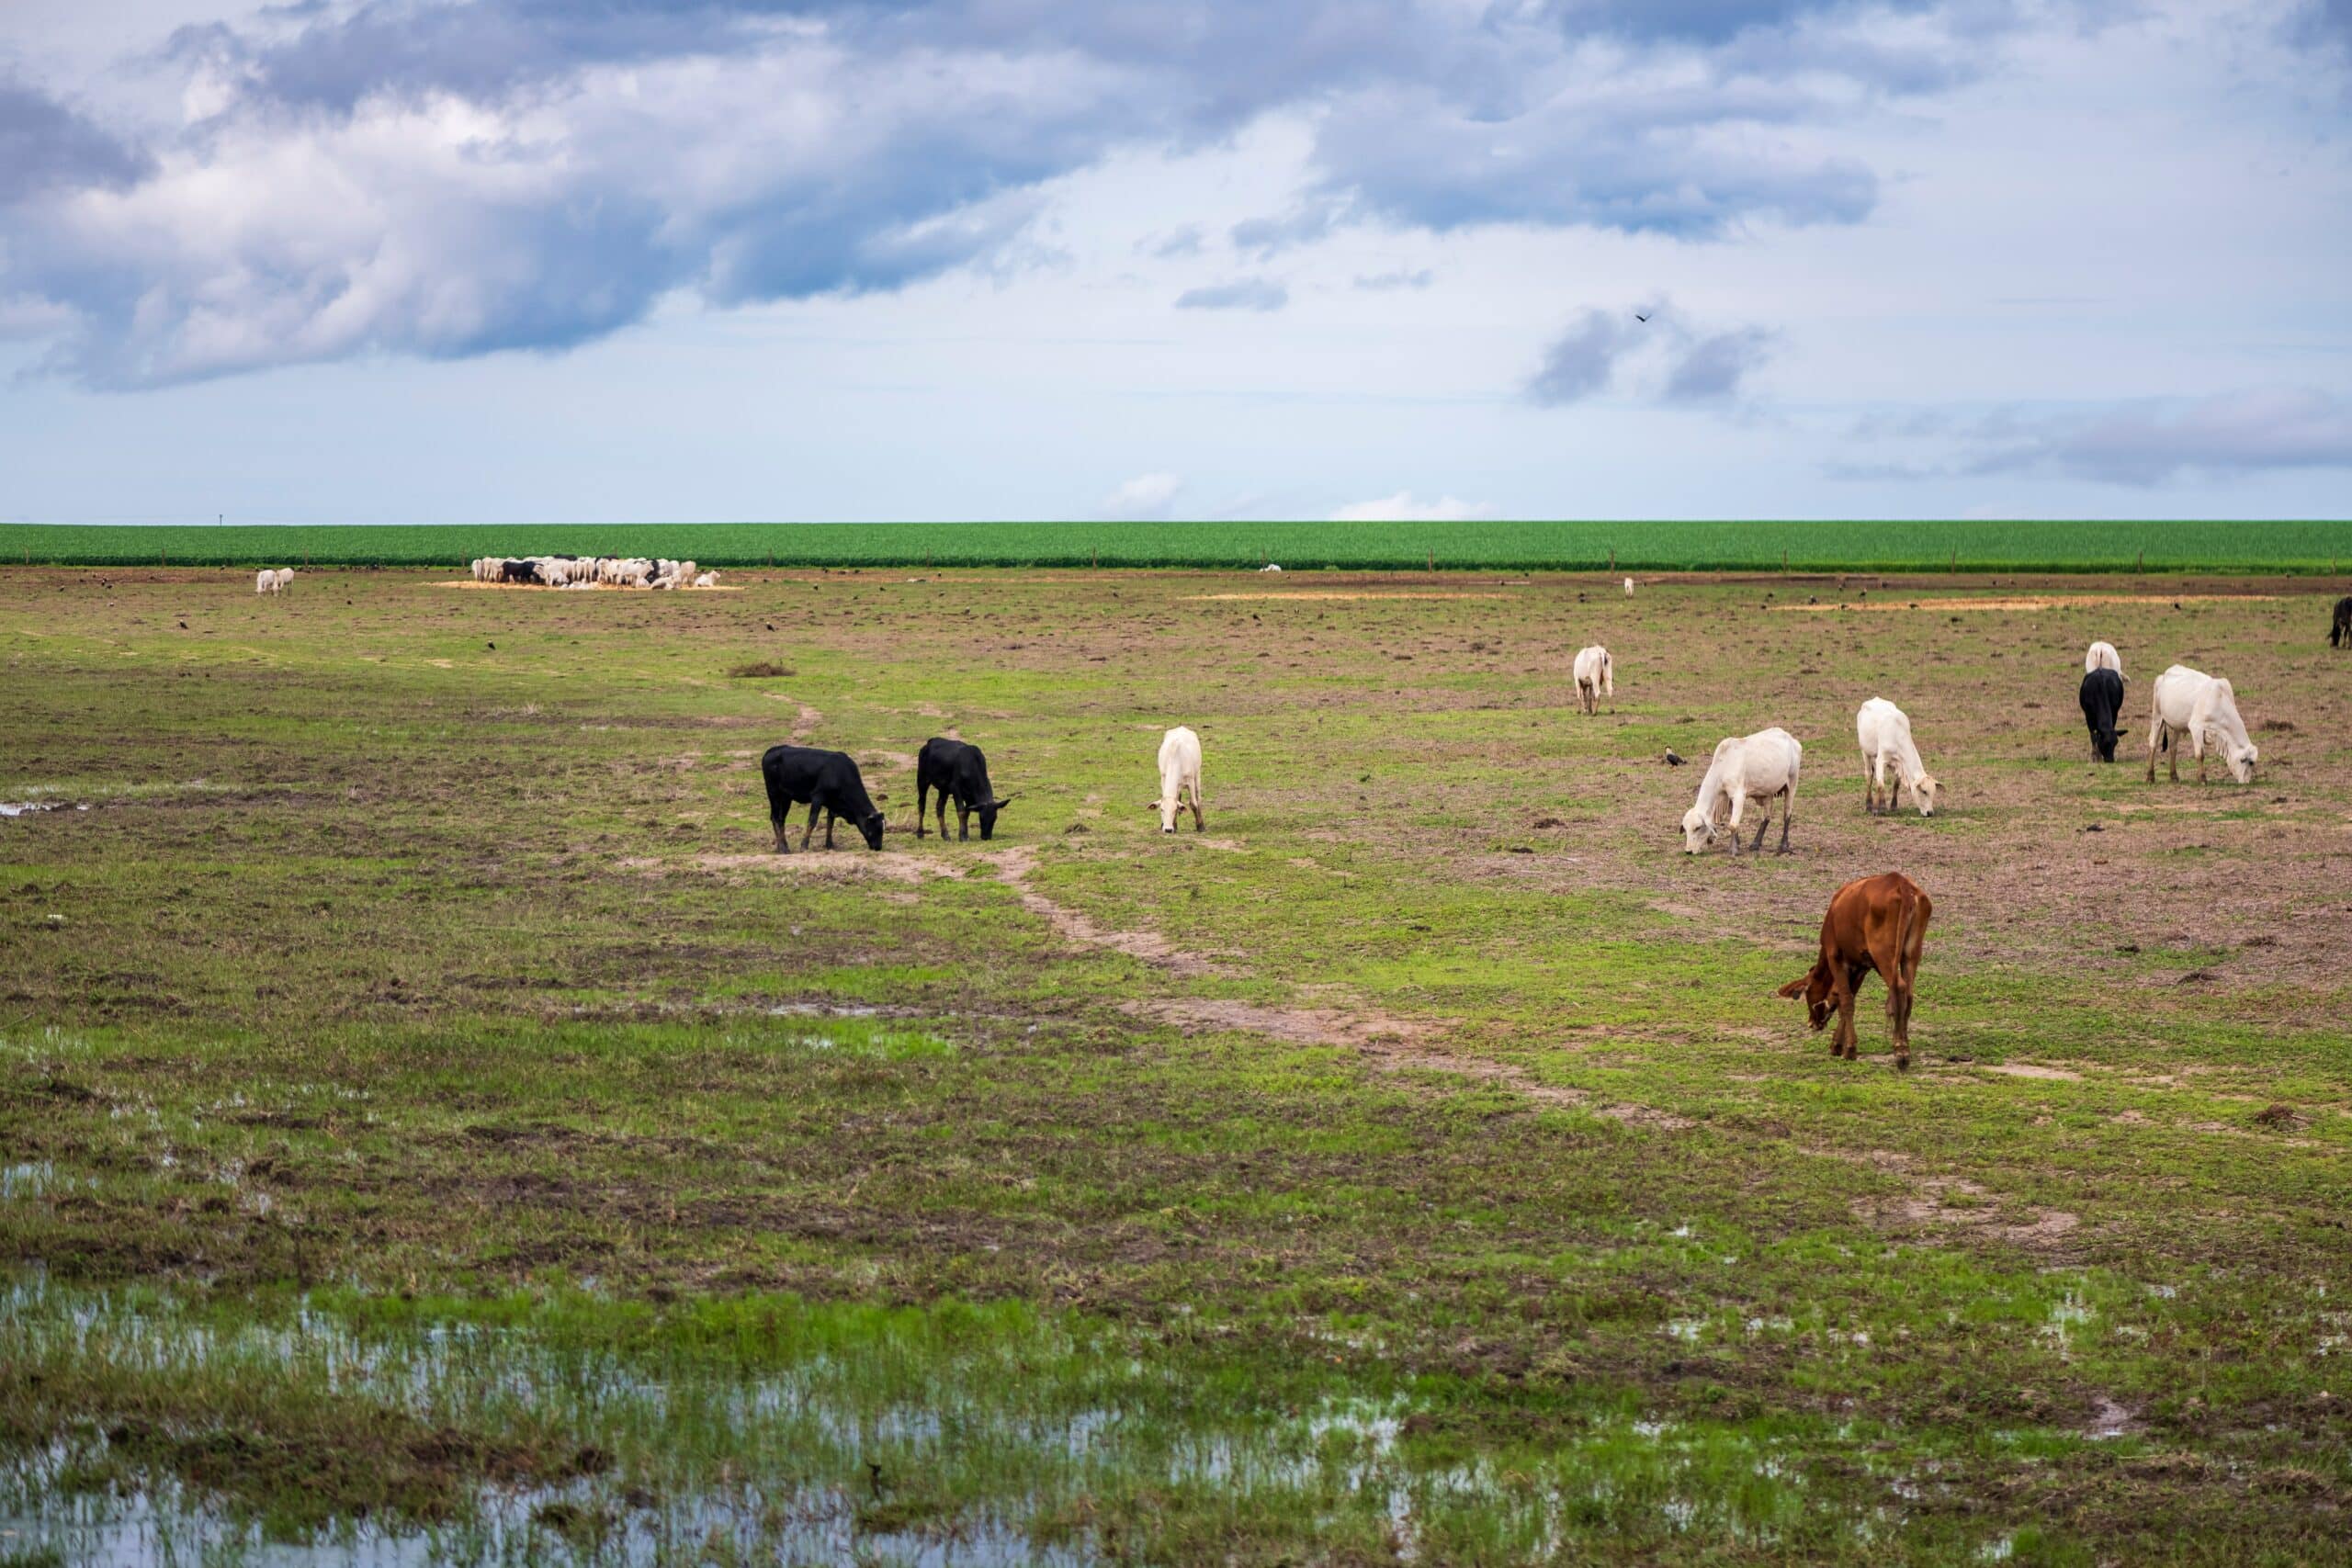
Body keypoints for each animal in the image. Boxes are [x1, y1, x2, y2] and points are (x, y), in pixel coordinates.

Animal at [761, 745, 887, 852]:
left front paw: (829, 845)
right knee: (775, 818)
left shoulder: (832, 802)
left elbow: (830, 822)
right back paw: (783, 849)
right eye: (875, 829)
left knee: (781, 819)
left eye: (882, 829)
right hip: (773, 793)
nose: (878, 847)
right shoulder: (818, 797)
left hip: (786, 797)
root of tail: (771, 751)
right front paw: (804, 846)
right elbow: (812, 820)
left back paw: (782, 846)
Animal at [1681, 728, 1802, 855]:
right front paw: (1737, 843)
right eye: (1685, 829)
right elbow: (1733, 822)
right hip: (1768, 791)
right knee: (1766, 817)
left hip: (1792, 783)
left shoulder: (1739, 796)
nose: (1688, 851)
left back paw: (1783, 846)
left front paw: (1733, 849)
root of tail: (1791, 738)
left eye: (1697, 828)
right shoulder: (1728, 798)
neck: (1724, 765)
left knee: (1787, 815)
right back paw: (1756, 843)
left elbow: (1733, 825)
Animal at [1777, 872, 1930, 1070]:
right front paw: (1837, 1044)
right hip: (1911, 954)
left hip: (1884, 954)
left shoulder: (1836, 958)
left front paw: (1849, 1049)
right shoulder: (1861, 967)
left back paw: (1900, 1051)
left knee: (1899, 988)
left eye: (1807, 994)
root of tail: (1901, 883)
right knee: (1909, 994)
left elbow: (1846, 1001)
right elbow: (1845, 1000)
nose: (1811, 1023)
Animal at [2145, 664, 2258, 785]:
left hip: (2177, 725)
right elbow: (2200, 754)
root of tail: (2163, 675)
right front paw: (2202, 778)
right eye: (2248, 762)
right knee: (2153, 744)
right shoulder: (2196, 727)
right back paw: (2150, 777)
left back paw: (2174, 776)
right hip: (2157, 716)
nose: (2246, 782)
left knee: (2173, 747)